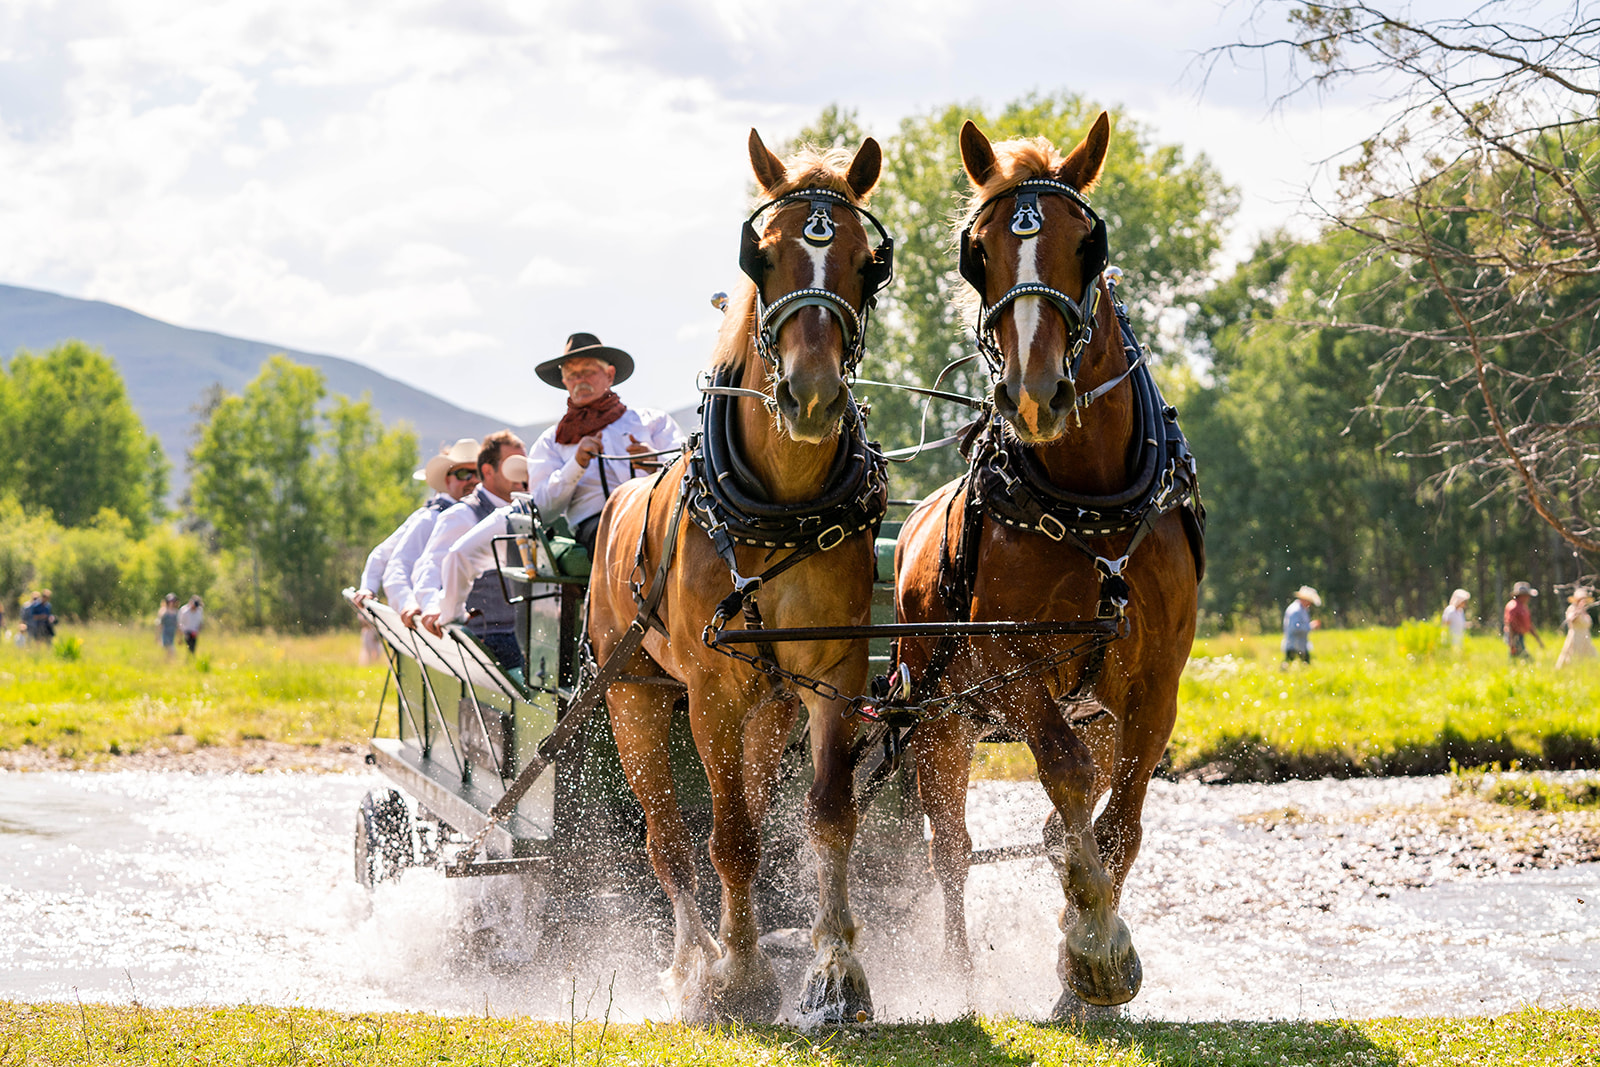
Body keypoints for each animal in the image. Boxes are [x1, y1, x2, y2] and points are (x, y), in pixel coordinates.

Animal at [585, 130, 893, 1024]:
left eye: (867, 263)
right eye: (763, 256)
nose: (813, 395)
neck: (779, 505)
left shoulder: (833, 673)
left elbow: (826, 818)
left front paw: (834, 972)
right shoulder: (710, 689)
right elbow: (726, 837)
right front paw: (740, 976)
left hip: (769, 704)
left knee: (748, 808)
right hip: (635, 698)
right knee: (670, 838)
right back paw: (695, 963)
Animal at [893, 114, 1204, 1017]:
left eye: (1087, 245)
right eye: (979, 253)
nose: (1033, 395)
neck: (1089, 501)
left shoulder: (1157, 681)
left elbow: (1119, 820)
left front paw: (1083, 962)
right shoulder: (1010, 666)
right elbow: (1064, 782)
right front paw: (1100, 948)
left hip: (1089, 707)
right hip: (939, 719)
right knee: (951, 849)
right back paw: (959, 976)